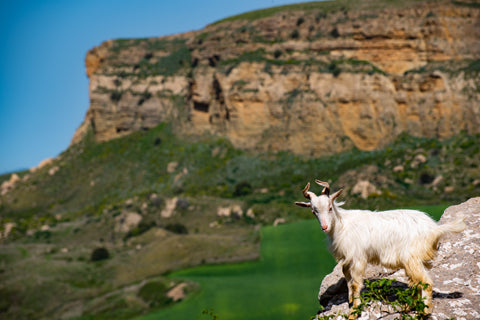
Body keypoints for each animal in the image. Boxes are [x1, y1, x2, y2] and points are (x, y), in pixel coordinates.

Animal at [296, 180, 464, 318]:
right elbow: (348, 279)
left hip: (412, 258)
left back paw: (424, 311)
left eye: (330, 208)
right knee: (416, 282)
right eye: (314, 211)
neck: (341, 224)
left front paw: (354, 312)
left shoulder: (358, 257)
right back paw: (409, 307)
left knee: (426, 282)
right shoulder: (347, 258)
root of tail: (434, 228)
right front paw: (350, 301)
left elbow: (356, 283)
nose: (324, 227)